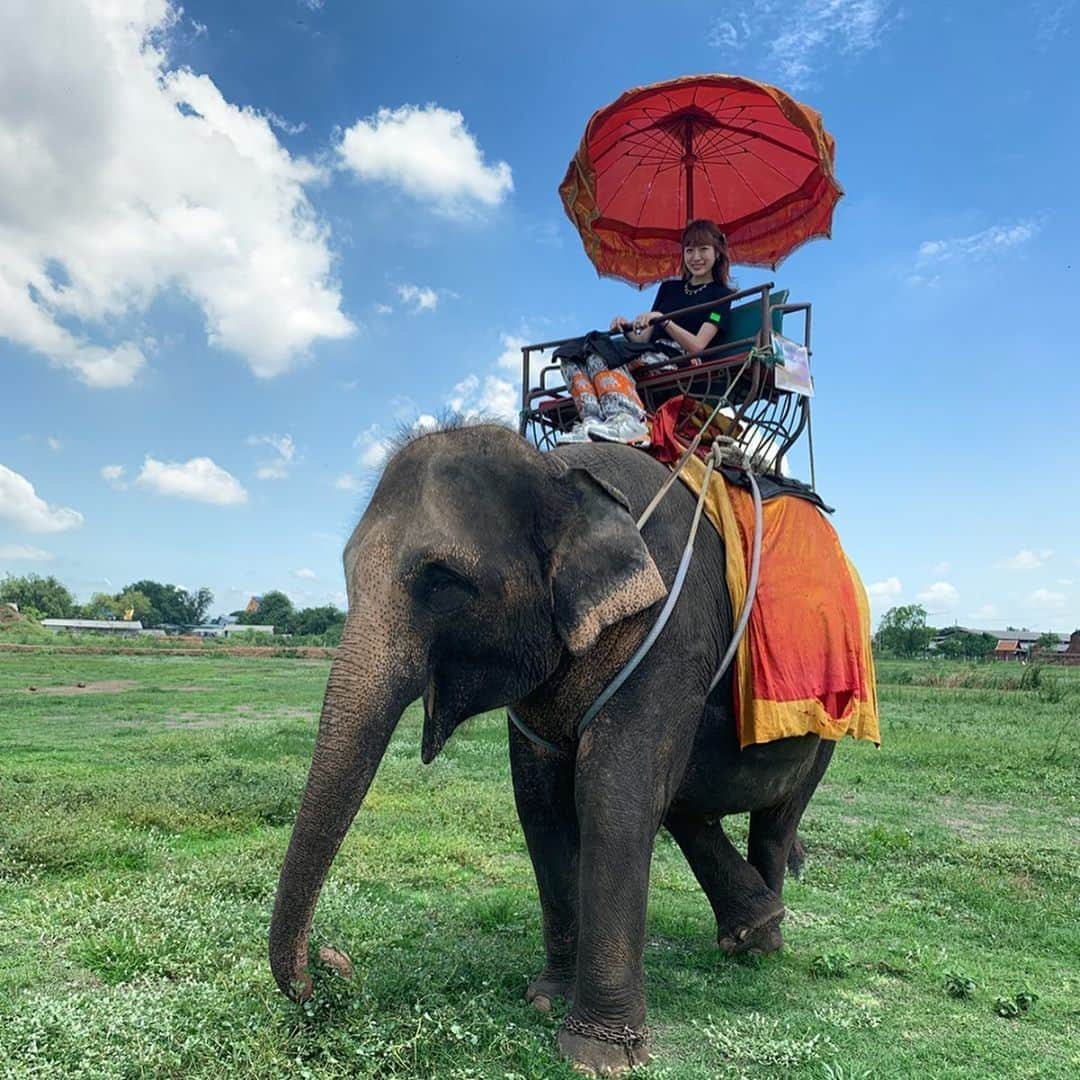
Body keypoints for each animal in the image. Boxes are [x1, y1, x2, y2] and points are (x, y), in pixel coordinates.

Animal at [270, 421, 842, 1071]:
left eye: (442, 581)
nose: (330, 965)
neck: (559, 473)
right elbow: (540, 802)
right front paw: (546, 999)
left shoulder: (672, 635)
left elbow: (612, 794)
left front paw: (595, 1055)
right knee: (684, 804)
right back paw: (750, 926)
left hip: (825, 721)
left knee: (775, 818)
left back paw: (762, 944)